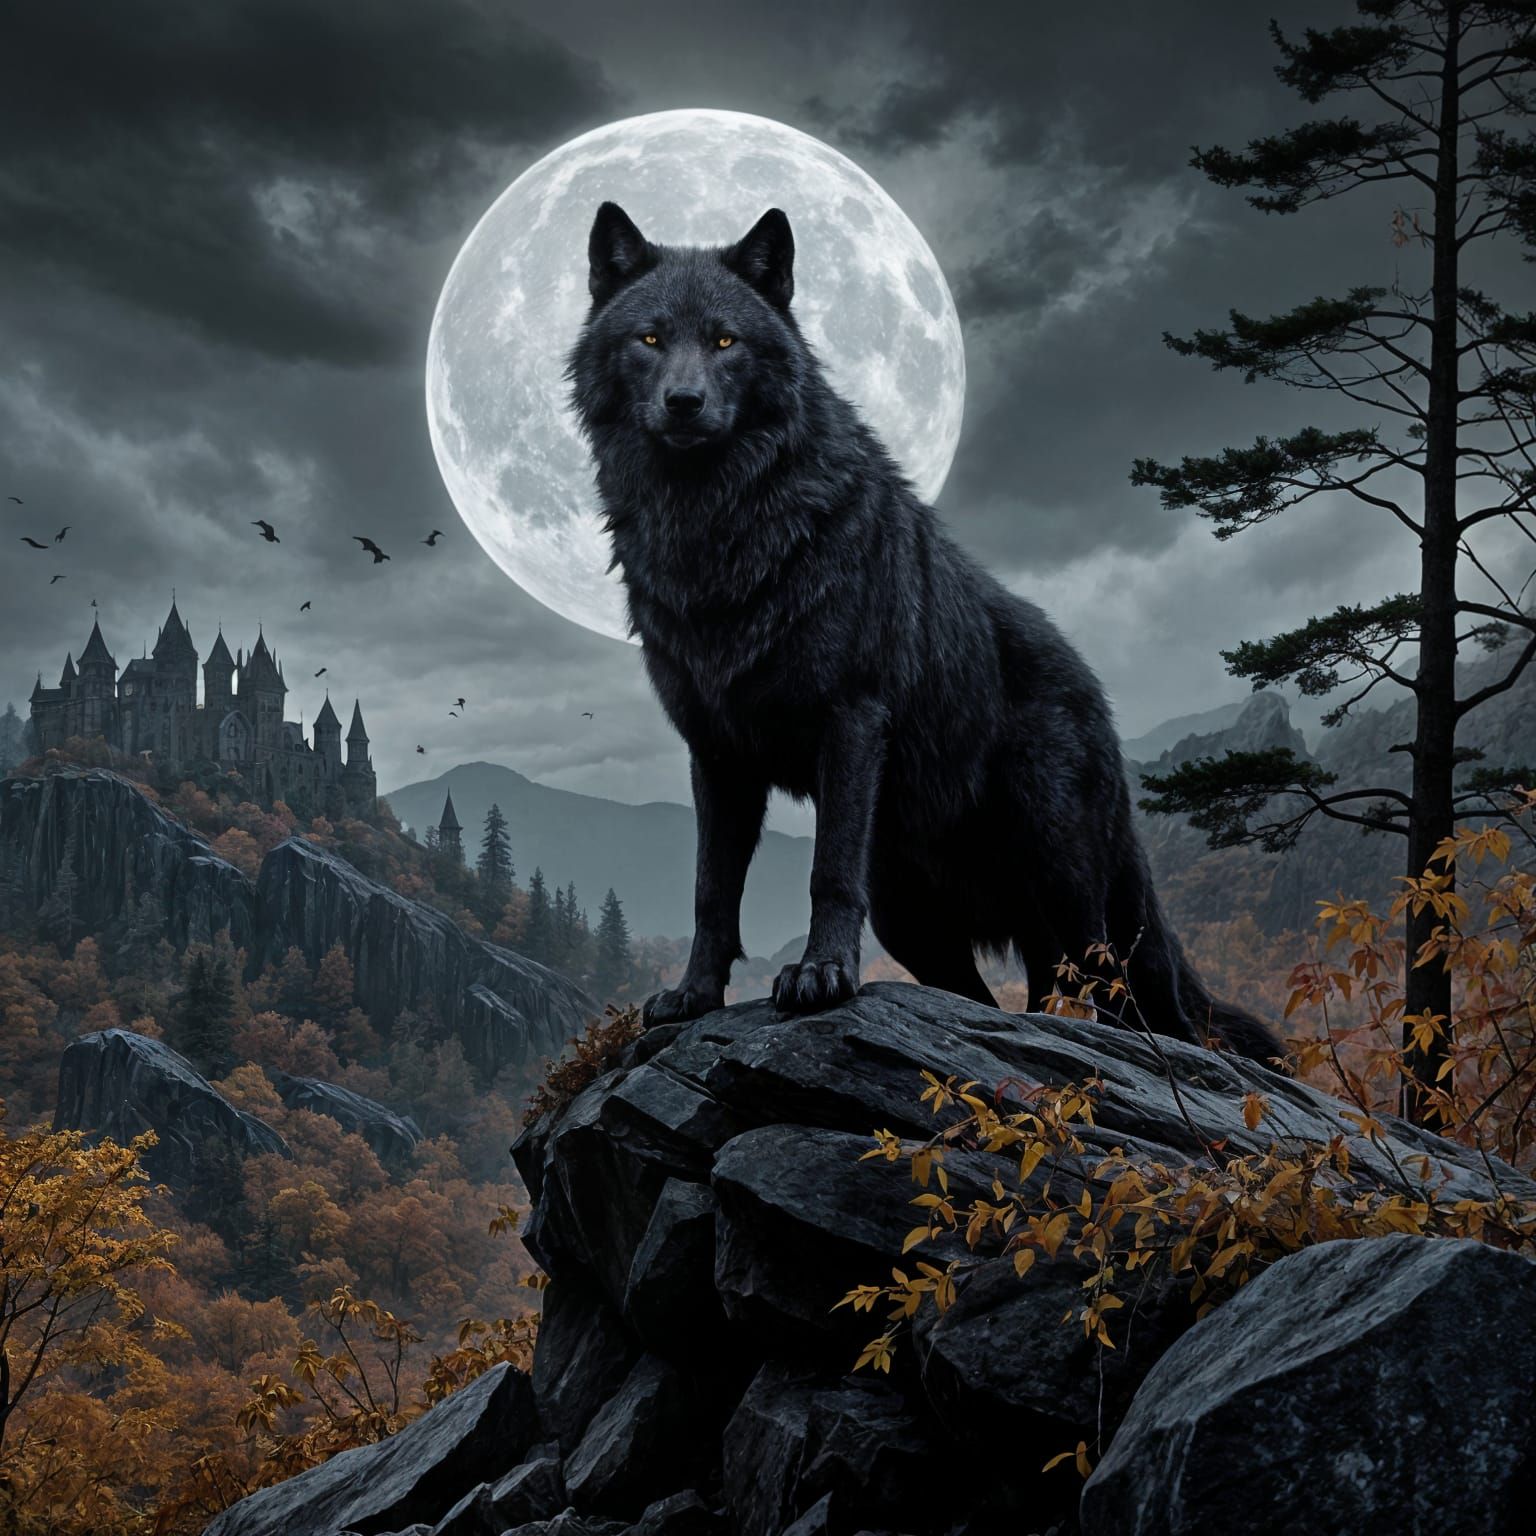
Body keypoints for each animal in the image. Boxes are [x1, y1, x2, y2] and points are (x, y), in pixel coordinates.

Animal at [564, 200, 1281, 1065]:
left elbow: (827, 871)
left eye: (726, 342)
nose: (684, 401)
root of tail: (1096, 691)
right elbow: (712, 891)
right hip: (914, 914)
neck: (717, 529)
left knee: (1116, 991)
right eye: (650, 338)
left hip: (1061, 876)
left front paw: (822, 977)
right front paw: (694, 998)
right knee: (1005, 997)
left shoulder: (849, 717)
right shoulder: (716, 753)